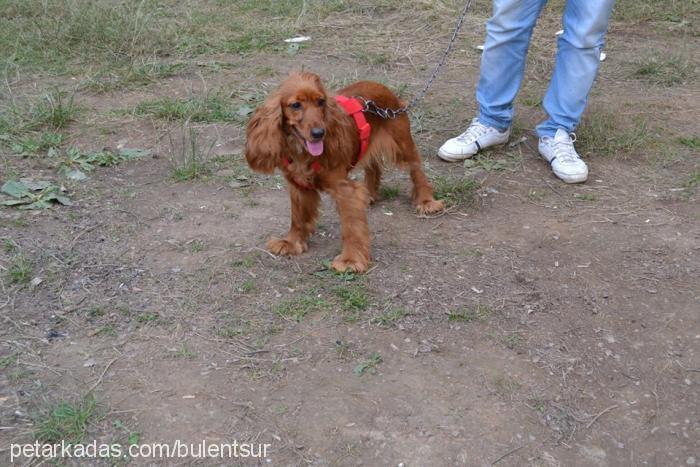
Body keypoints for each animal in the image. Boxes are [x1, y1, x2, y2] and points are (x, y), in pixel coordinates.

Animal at [246, 71, 442, 272]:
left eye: (321, 102)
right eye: (295, 105)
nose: (319, 133)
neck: (301, 152)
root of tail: (382, 86)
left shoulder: (345, 190)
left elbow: (351, 227)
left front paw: (350, 260)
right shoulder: (298, 186)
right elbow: (297, 217)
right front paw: (291, 242)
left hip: (402, 143)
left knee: (417, 170)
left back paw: (426, 202)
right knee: (373, 167)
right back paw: (369, 195)